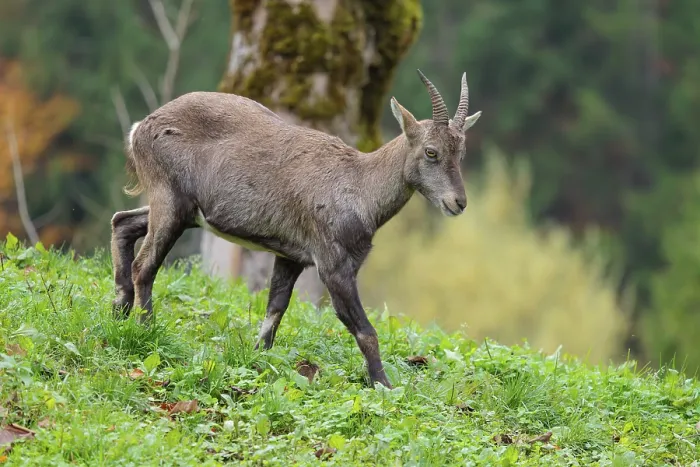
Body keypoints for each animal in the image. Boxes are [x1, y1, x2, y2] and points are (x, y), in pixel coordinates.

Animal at [110, 70, 482, 388]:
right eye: (431, 152)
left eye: (461, 152)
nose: (458, 202)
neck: (359, 186)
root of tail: (140, 128)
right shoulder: (333, 266)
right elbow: (365, 331)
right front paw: (384, 385)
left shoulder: (291, 257)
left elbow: (274, 310)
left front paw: (258, 362)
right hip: (170, 202)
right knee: (145, 264)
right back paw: (145, 329)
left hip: (181, 211)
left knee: (122, 222)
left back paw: (119, 311)